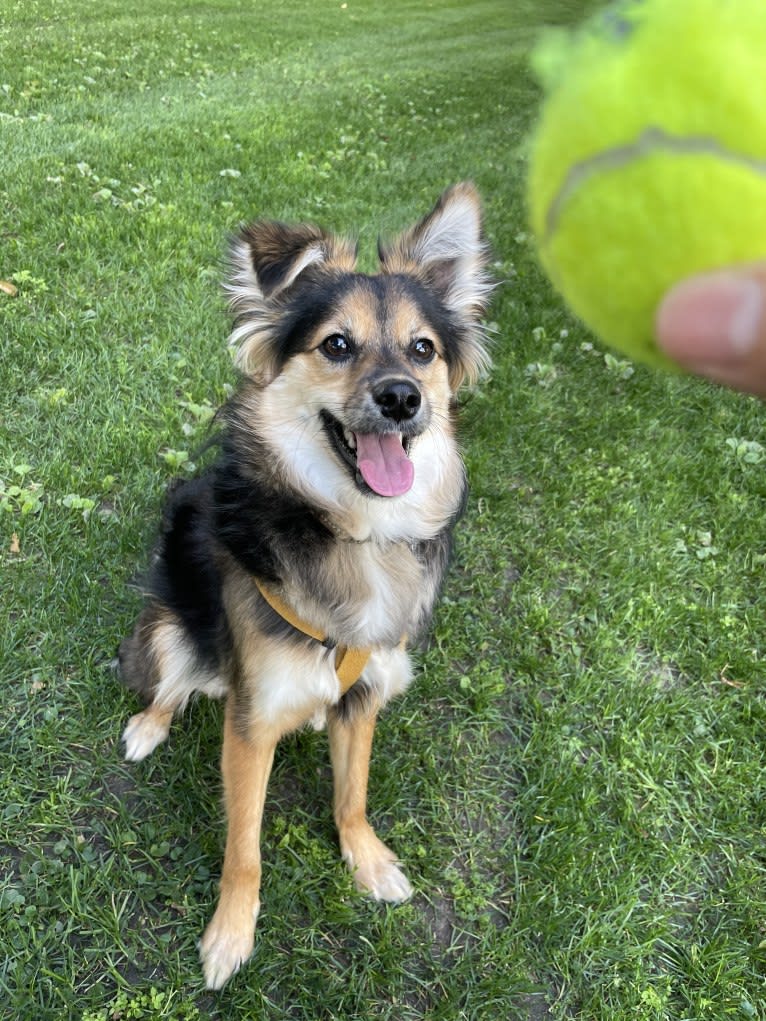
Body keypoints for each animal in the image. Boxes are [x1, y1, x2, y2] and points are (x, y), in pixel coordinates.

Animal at [117, 183, 494, 988]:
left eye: (423, 349)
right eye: (337, 345)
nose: (402, 397)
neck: (354, 533)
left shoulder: (369, 687)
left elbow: (352, 794)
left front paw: (367, 860)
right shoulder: (252, 720)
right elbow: (245, 848)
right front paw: (230, 934)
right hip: (169, 627)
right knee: (168, 681)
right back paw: (148, 726)